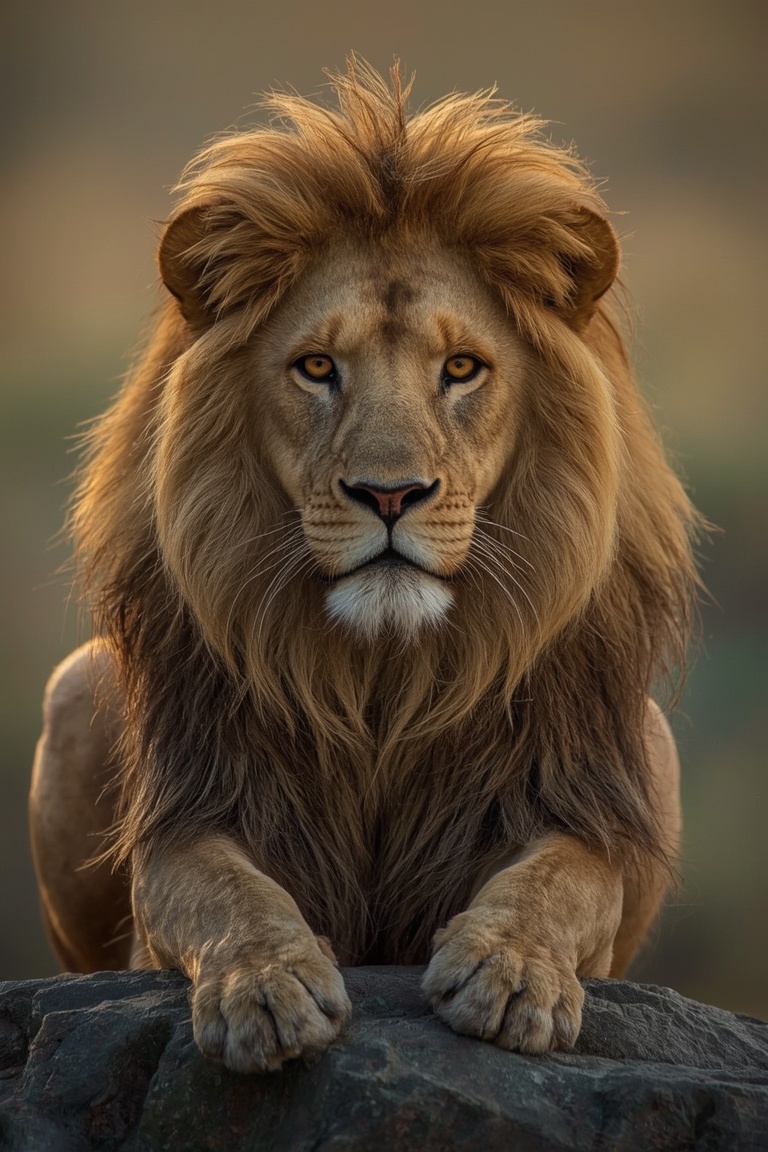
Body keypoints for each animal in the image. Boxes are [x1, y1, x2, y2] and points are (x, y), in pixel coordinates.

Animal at [30, 62, 699, 1073]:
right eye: (316, 367)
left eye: (462, 368)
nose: (391, 494)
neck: (384, 680)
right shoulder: (191, 814)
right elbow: (219, 891)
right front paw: (265, 986)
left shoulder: (579, 803)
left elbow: (564, 881)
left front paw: (511, 973)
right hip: (76, 684)